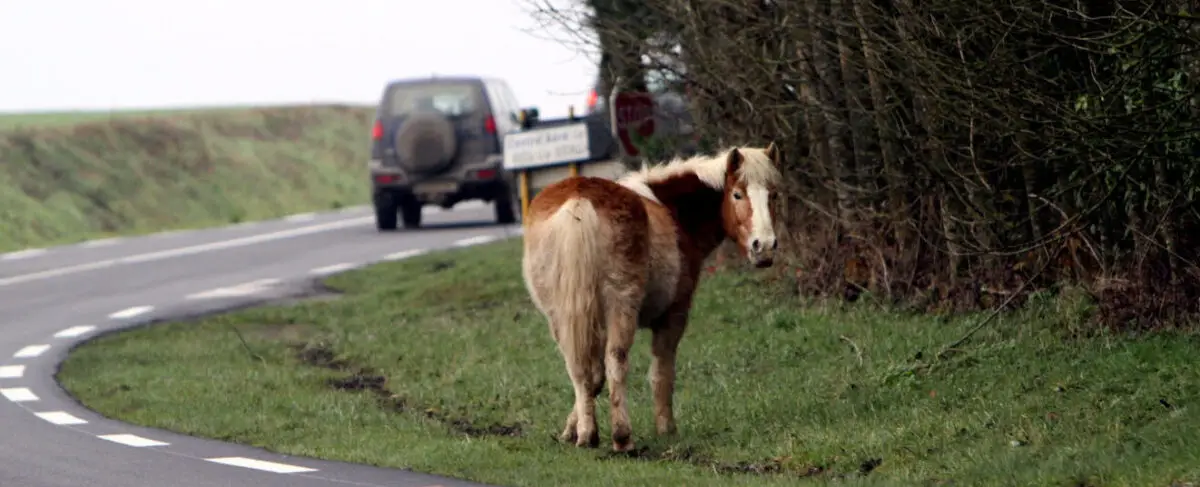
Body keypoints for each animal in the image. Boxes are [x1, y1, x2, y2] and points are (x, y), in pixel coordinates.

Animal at [520, 144, 784, 452]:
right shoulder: (674, 316)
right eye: (737, 194)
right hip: (621, 307)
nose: (764, 247)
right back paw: (623, 438)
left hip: (560, 316)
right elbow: (661, 373)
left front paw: (572, 430)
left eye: (774, 194)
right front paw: (666, 429)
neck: (672, 212)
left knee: (578, 366)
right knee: (616, 361)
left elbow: (593, 376)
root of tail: (579, 201)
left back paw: (587, 435)